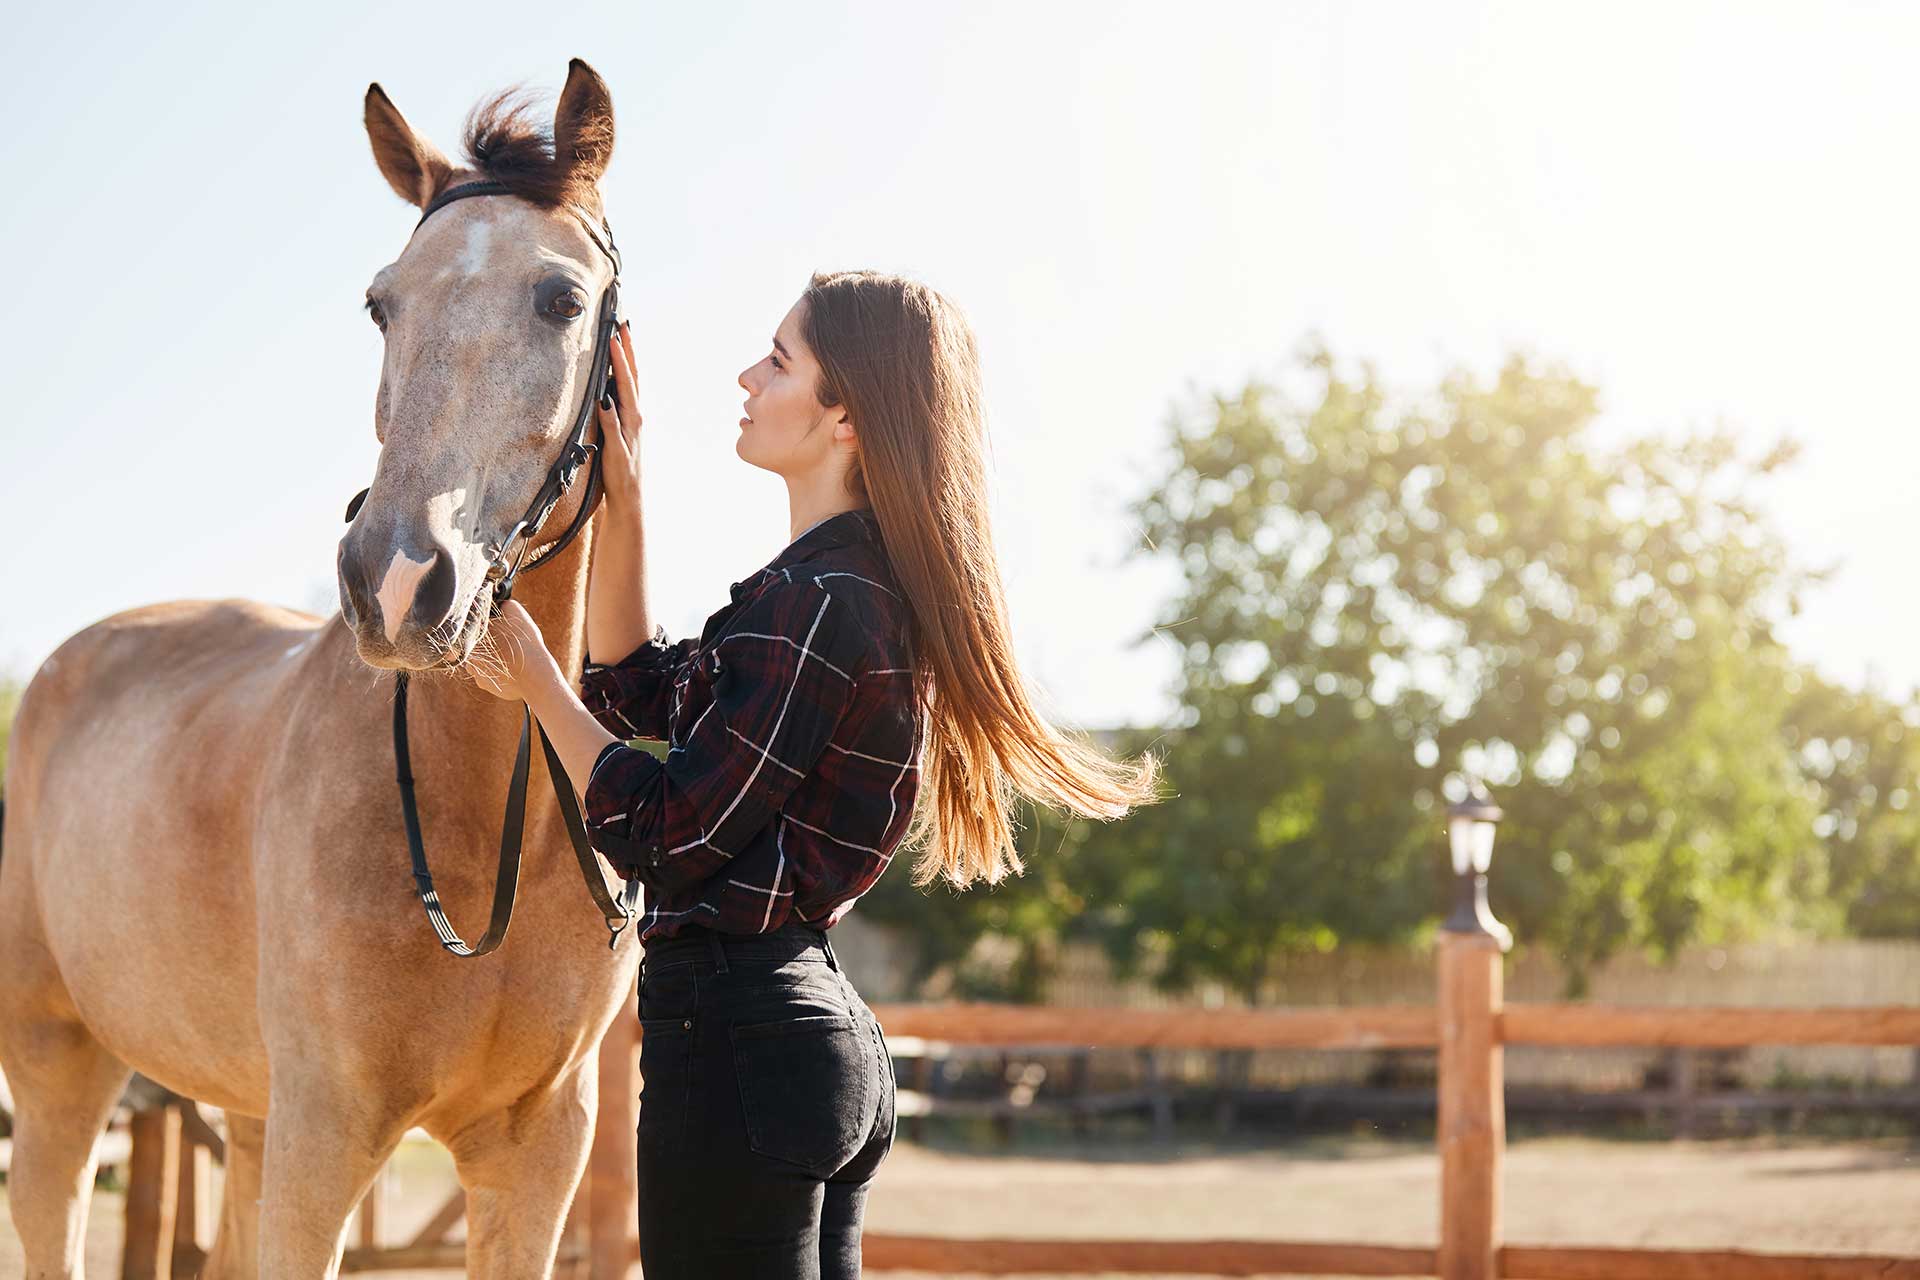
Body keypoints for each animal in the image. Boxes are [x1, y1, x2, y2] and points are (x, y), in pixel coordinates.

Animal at [0, 59, 640, 1277]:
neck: (485, 817)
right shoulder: (327, 1134)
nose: (397, 579)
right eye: (382, 303)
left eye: (561, 300)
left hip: (240, 1112)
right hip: (60, 1059)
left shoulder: (541, 1150)